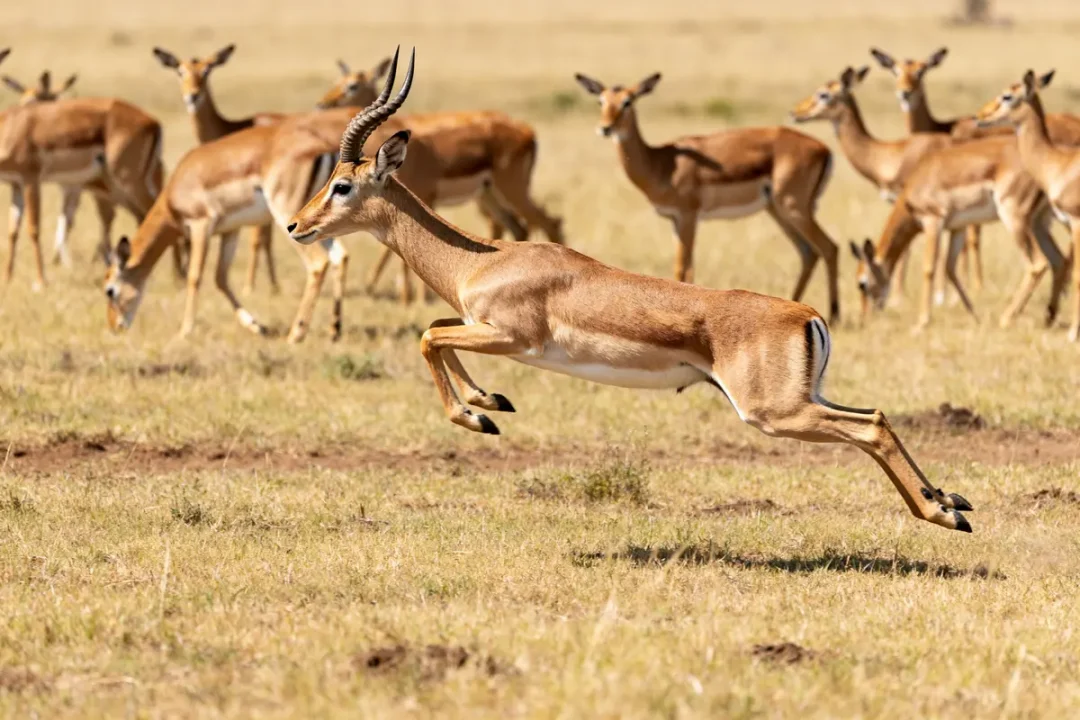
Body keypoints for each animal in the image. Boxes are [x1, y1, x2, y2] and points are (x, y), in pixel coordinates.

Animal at [3, 68, 117, 267]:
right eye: (23, 100)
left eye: (38, 100)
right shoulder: (67, 186)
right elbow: (65, 217)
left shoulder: (74, 186)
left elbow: (68, 219)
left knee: (110, 215)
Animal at [153, 44, 284, 295]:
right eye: (180, 71)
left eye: (207, 71)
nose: (193, 96)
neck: (231, 127)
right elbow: (266, 238)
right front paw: (272, 286)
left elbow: (258, 239)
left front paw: (252, 287)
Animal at [318, 56, 564, 300]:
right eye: (337, 81)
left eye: (352, 86)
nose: (323, 105)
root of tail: (527, 130)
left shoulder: (423, 197)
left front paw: (412, 298)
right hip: (489, 195)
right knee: (517, 227)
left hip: (512, 190)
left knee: (550, 221)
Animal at [574, 72, 840, 324]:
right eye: (601, 100)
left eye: (627, 101)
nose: (605, 128)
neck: (661, 163)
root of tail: (824, 149)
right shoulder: (675, 220)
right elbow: (686, 268)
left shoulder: (688, 216)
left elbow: (682, 268)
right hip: (778, 211)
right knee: (808, 252)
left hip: (794, 207)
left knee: (829, 247)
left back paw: (834, 315)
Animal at [849, 133, 1067, 330]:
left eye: (862, 283)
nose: (864, 318)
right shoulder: (957, 228)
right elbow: (949, 268)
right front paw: (975, 317)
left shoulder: (933, 222)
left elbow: (929, 268)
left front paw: (922, 322)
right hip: (1038, 223)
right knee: (1059, 260)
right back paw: (1049, 318)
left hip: (1014, 219)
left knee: (1038, 263)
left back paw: (1006, 319)